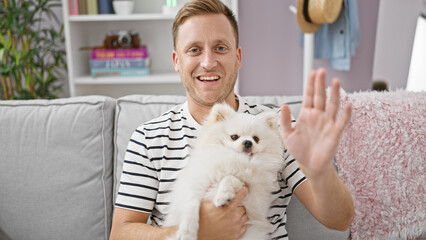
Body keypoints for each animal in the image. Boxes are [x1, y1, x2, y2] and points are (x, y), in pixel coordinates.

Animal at [165, 103, 284, 240]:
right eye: (234, 137)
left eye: (256, 138)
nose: (248, 142)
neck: (236, 159)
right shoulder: (195, 184)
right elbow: (190, 206)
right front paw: (187, 232)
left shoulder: (253, 200)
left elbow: (230, 178)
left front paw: (223, 196)